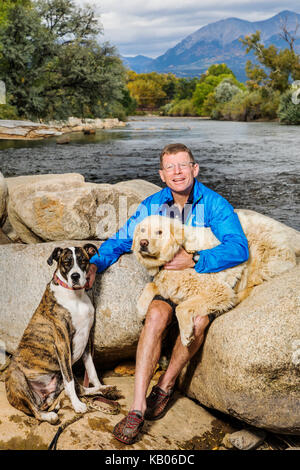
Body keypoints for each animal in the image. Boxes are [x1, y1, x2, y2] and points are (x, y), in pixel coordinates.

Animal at [5, 244, 113, 424]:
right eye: (66, 262)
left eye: (83, 261)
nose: (75, 276)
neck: (75, 296)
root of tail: (42, 398)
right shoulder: (63, 345)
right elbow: (70, 381)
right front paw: (77, 406)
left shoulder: (87, 341)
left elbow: (91, 371)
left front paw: (99, 386)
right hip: (17, 377)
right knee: (37, 411)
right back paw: (50, 415)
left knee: (80, 389)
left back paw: (106, 390)